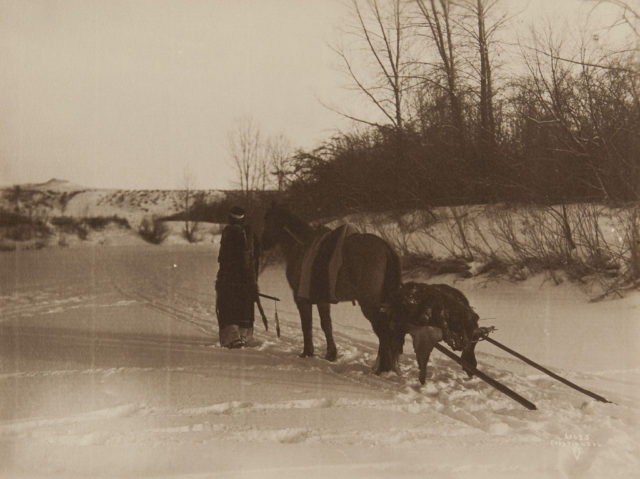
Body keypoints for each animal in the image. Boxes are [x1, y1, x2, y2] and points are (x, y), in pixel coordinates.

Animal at [258, 204, 400, 374]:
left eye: (268, 219)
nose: (262, 242)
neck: (302, 246)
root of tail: (385, 247)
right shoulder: (322, 300)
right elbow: (327, 325)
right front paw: (331, 354)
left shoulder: (301, 300)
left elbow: (307, 325)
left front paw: (307, 352)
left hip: (369, 304)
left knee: (383, 331)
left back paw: (381, 368)